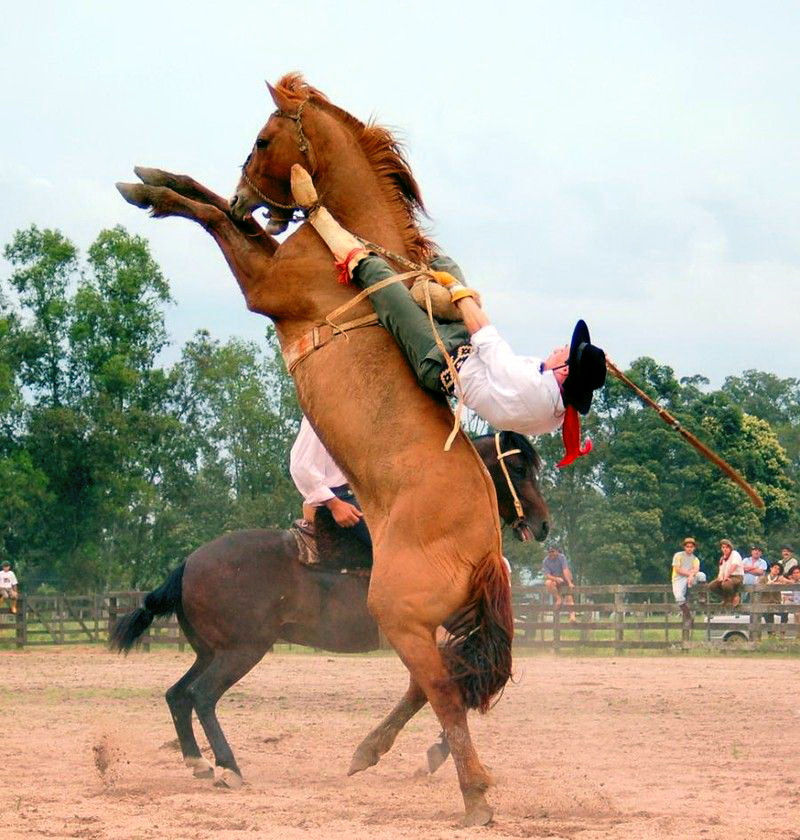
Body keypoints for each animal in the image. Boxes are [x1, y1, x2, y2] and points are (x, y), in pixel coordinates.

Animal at [111, 434, 552, 788]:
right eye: (517, 467)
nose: (543, 524)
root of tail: (187, 564)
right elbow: (436, 685)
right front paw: (381, 752)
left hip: (210, 651)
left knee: (177, 694)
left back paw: (199, 764)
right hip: (241, 651)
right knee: (201, 696)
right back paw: (229, 768)